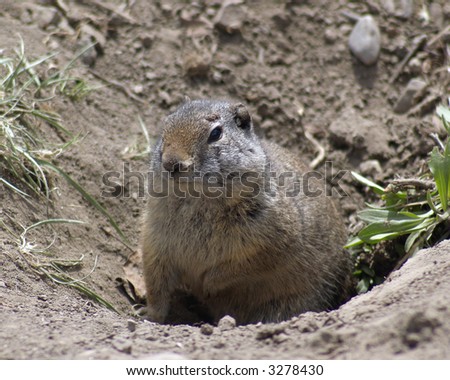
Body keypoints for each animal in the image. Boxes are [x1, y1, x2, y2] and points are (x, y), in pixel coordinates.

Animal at [141, 99, 352, 326]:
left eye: (216, 133)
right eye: (165, 128)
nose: (171, 163)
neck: (197, 199)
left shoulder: (271, 237)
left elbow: (245, 264)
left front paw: (207, 284)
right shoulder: (155, 241)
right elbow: (156, 285)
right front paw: (149, 316)